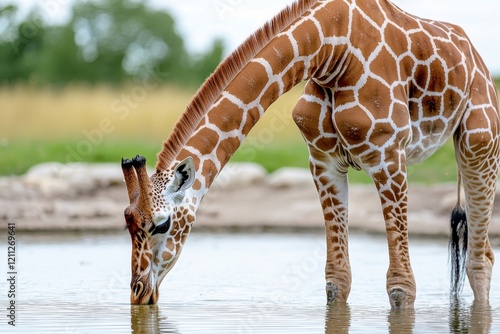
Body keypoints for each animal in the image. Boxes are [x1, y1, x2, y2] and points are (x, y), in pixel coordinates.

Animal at [122, 0, 500, 308]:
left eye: (162, 224)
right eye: (128, 222)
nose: (138, 293)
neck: (331, 49)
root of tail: (479, 60)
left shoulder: (389, 155)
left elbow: (401, 288)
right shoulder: (323, 161)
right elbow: (337, 281)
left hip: (479, 144)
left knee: (480, 260)